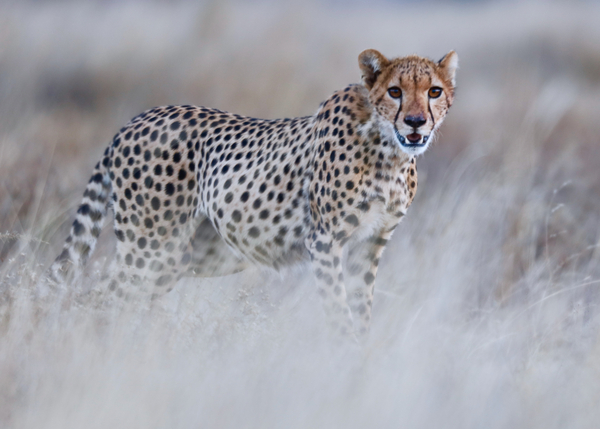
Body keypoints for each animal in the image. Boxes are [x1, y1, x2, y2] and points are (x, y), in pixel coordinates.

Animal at [48, 50, 460, 336]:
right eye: (395, 91)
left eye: (434, 91)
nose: (415, 122)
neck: (388, 151)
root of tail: (133, 121)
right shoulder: (324, 241)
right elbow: (339, 314)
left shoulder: (369, 244)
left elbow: (361, 314)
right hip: (149, 247)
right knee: (97, 299)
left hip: (180, 256)